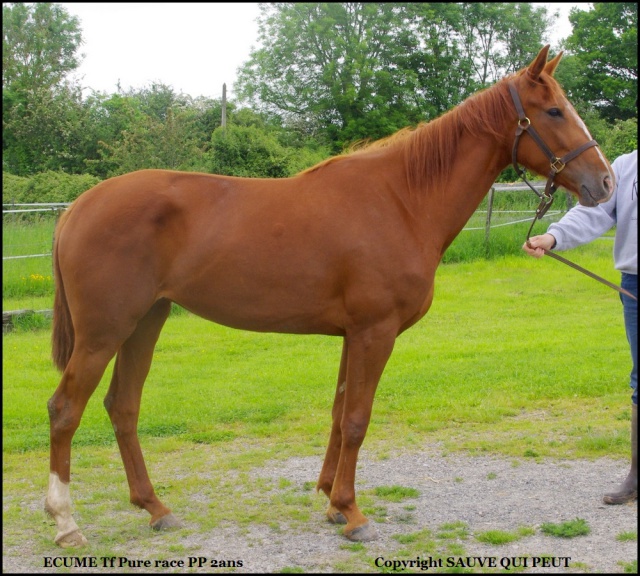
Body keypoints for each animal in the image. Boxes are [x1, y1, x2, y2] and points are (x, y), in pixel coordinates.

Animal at [47, 47, 612, 548]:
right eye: (554, 110)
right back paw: (66, 523)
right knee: (65, 409)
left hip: (146, 321)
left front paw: (330, 502)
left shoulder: (351, 335)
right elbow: (358, 420)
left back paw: (156, 508)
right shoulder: (374, 332)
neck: (402, 199)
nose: (604, 182)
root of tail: (78, 207)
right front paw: (353, 513)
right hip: (104, 333)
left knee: (122, 406)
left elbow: (340, 415)